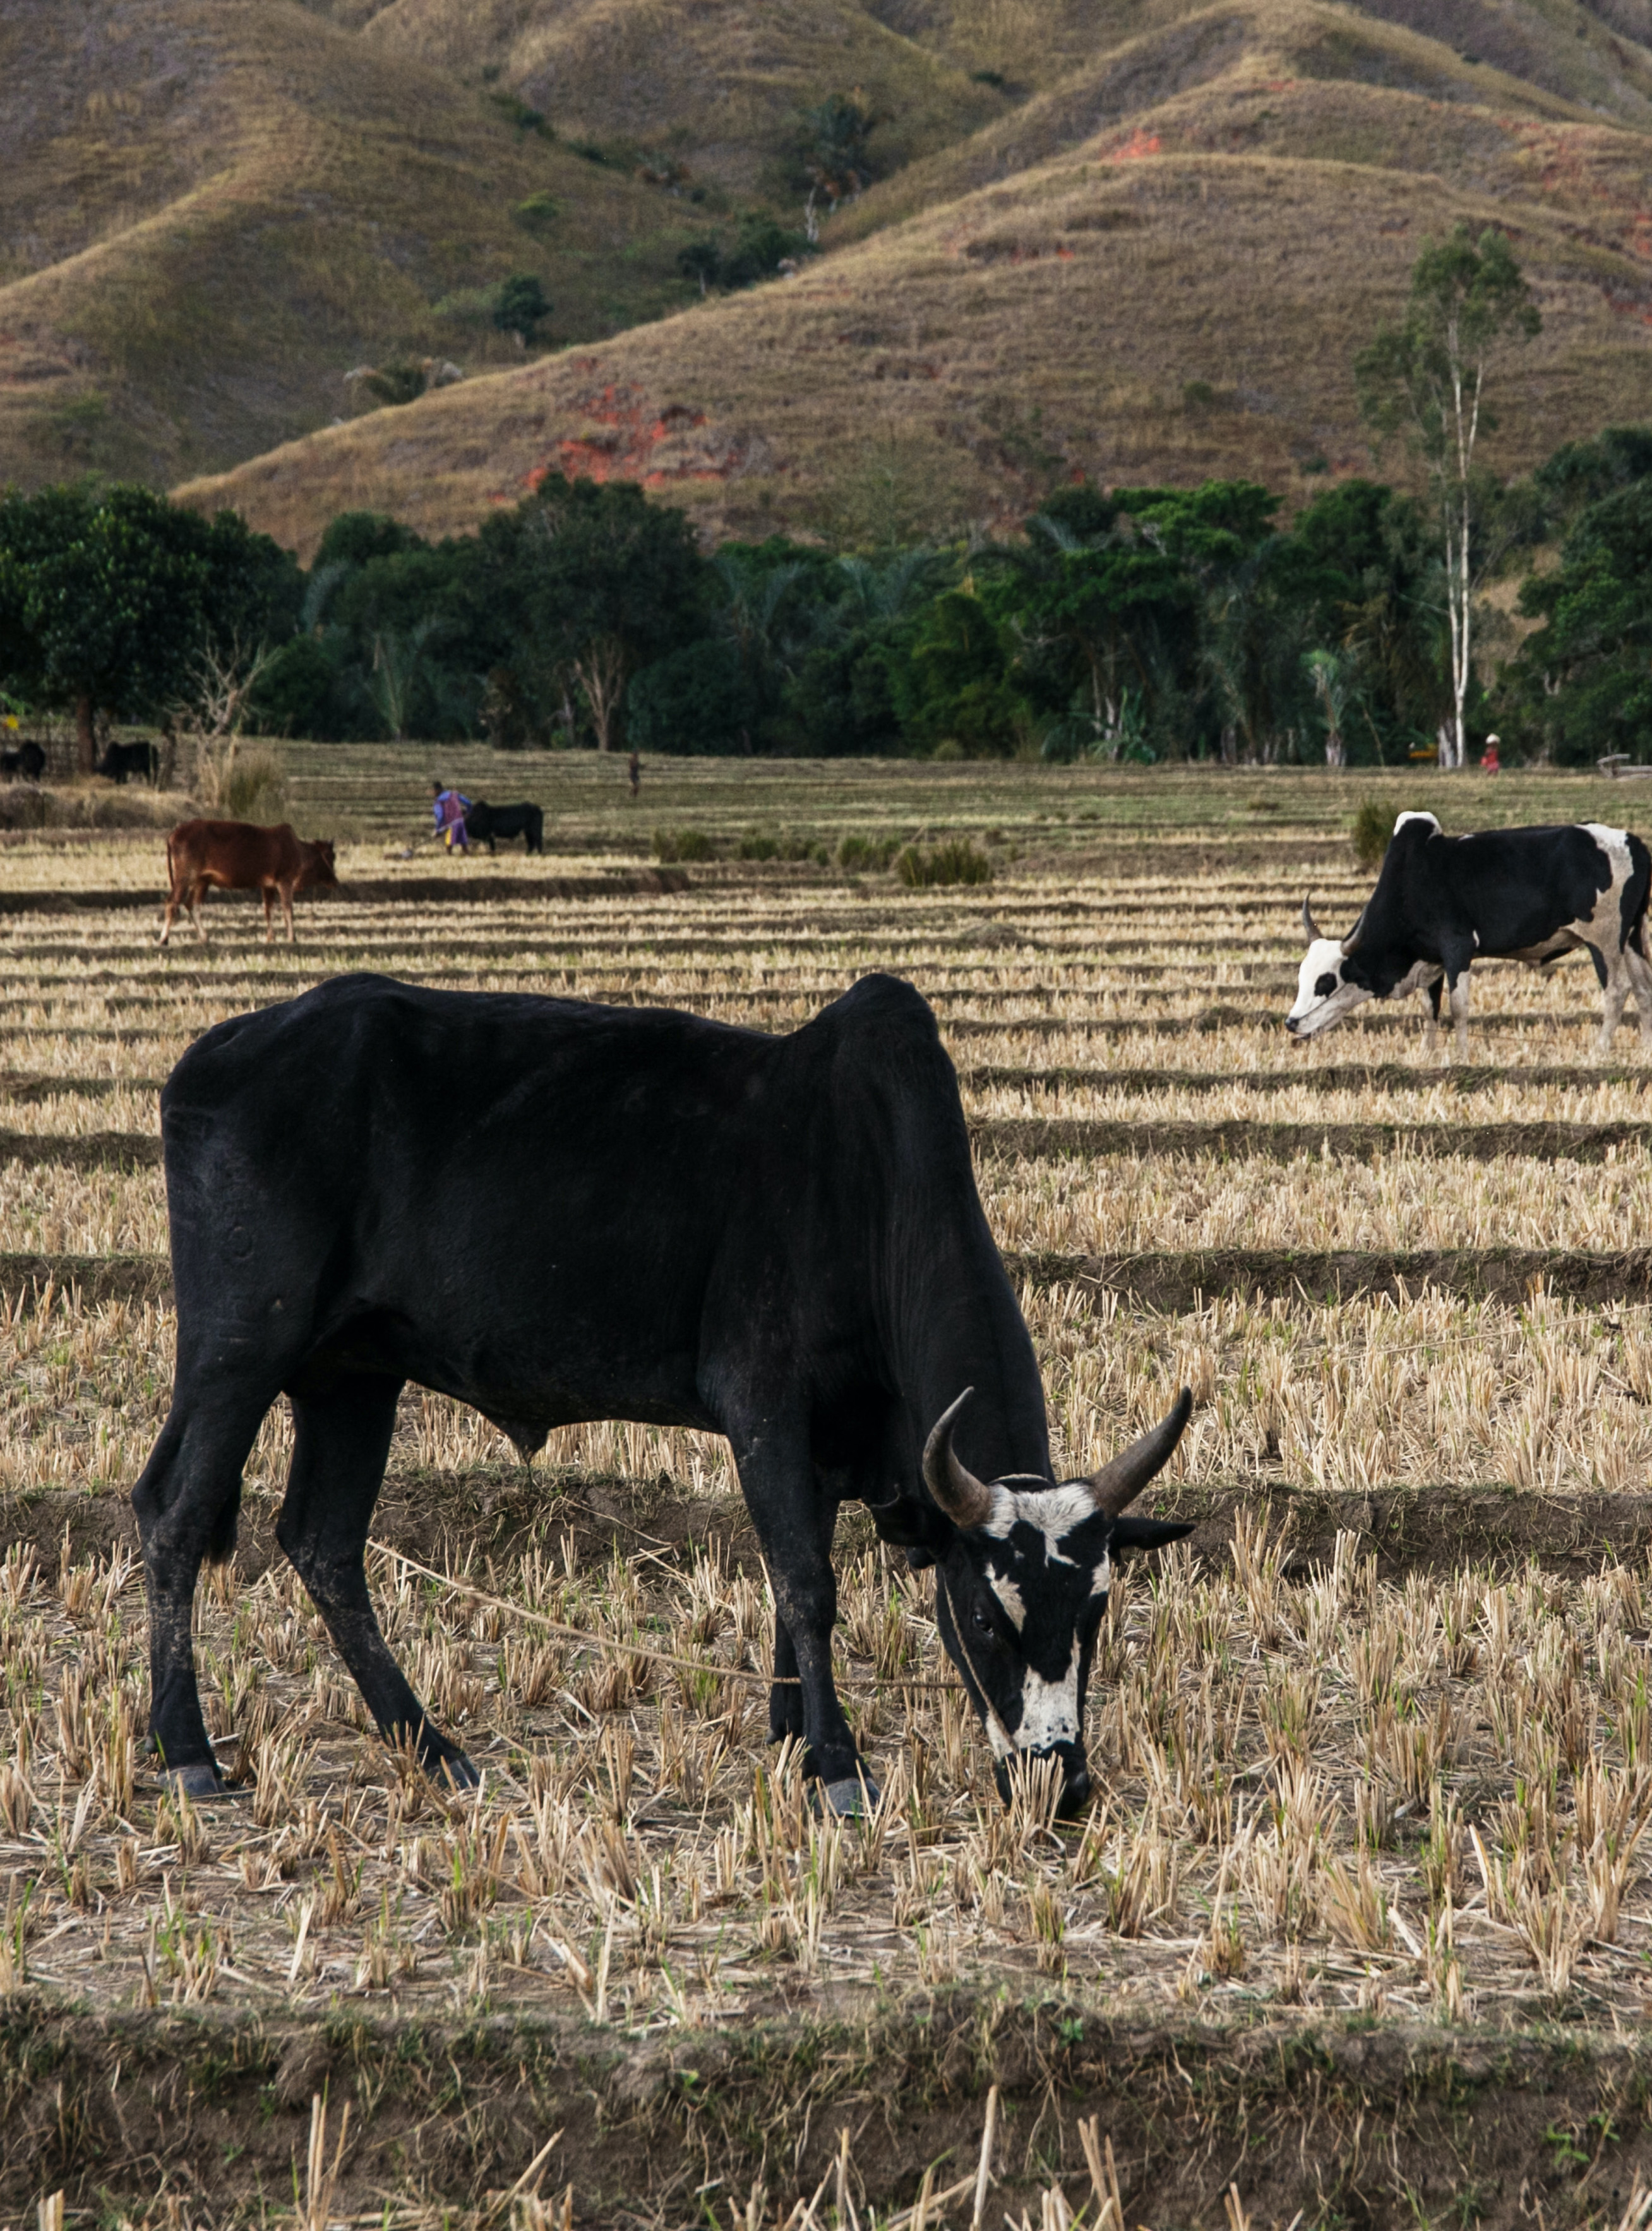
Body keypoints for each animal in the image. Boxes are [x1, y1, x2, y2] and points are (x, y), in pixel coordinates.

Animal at [128, 972, 1186, 1811]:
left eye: (1095, 1614)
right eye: (987, 1617)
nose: (1063, 1785)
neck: (867, 1179)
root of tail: (214, 1053)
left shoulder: (827, 1448)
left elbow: (788, 1589)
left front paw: (792, 1737)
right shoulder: (763, 1406)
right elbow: (808, 1584)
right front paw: (839, 1765)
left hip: (353, 1378)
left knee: (322, 1543)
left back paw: (430, 1747)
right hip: (240, 1351)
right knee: (175, 1514)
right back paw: (189, 1753)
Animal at [161, 829, 341, 950]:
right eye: (331, 855)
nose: (335, 881)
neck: (298, 851)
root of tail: (173, 835)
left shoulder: (268, 885)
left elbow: (268, 910)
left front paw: (270, 938)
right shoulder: (285, 881)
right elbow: (288, 909)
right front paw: (292, 937)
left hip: (202, 881)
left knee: (191, 904)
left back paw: (205, 938)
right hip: (185, 877)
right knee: (172, 902)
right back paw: (164, 939)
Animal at [461, 803, 544, 852]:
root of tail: (538, 809)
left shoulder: (487, 835)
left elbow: (491, 846)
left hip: (535, 830)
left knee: (538, 842)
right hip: (528, 832)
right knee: (532, 844)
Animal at [1293, 816, 1649, 1057]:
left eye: (1326, 982)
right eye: (1301, 977)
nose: (1291, 1023)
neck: (1412, 884)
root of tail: (1634, 842)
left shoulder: (1458, 949)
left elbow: (1458, 1006)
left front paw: (1461, 1056)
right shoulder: (1432, 961)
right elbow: (1430, 1008)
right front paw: (1427, 1053)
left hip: (1604, 940)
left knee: (1617, 989)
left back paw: (1599, 1050)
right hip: (1632, 938)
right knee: (1643, 988)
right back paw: (1645, 1049)